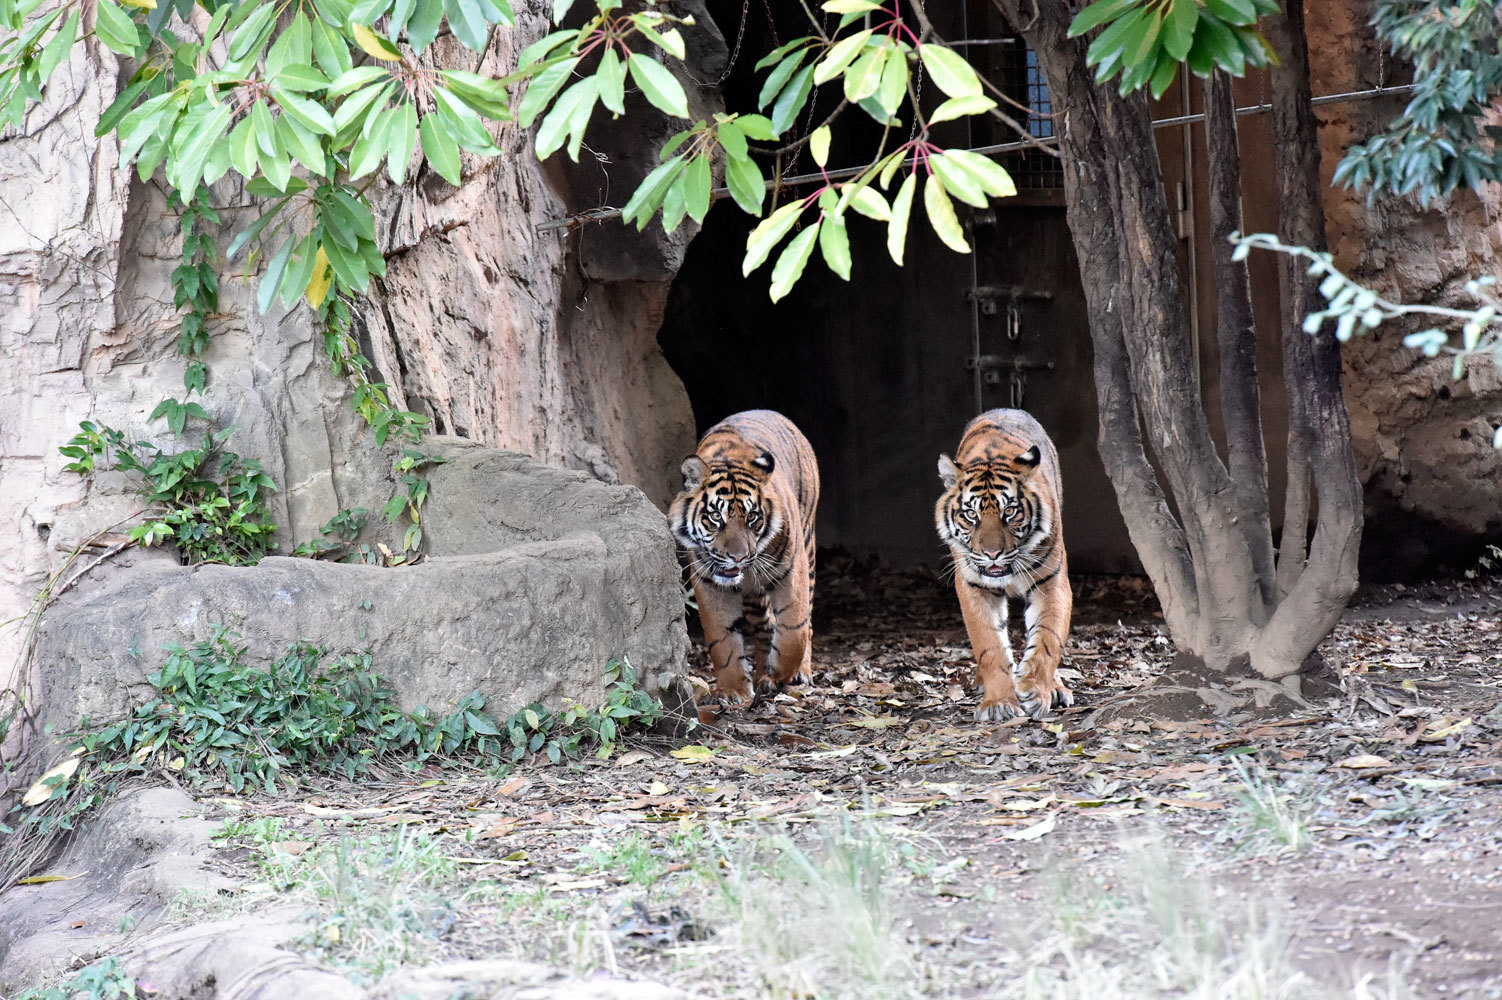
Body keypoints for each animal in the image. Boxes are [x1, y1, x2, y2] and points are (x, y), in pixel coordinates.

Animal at [669, 408, 823, 705]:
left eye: (752, 517)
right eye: (716, 517)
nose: (739, 557)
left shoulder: (792, 573)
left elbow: (793, 632)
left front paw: (783, 673)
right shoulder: (709, 583)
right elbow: (722, 640)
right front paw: (732, 691)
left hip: (808, 548)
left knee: (806, 622)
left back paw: (797, 673)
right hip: (755, 597)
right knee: (765, 628)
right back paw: (763, 675)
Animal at [931, 408, 1075, 720]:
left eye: (1009, 511)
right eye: (971, 515)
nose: (992, 553)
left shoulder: (1052, 583)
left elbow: (1048, 639)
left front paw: (1035, 689)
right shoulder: (973, 585)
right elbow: (990, 646)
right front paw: (999, 703)